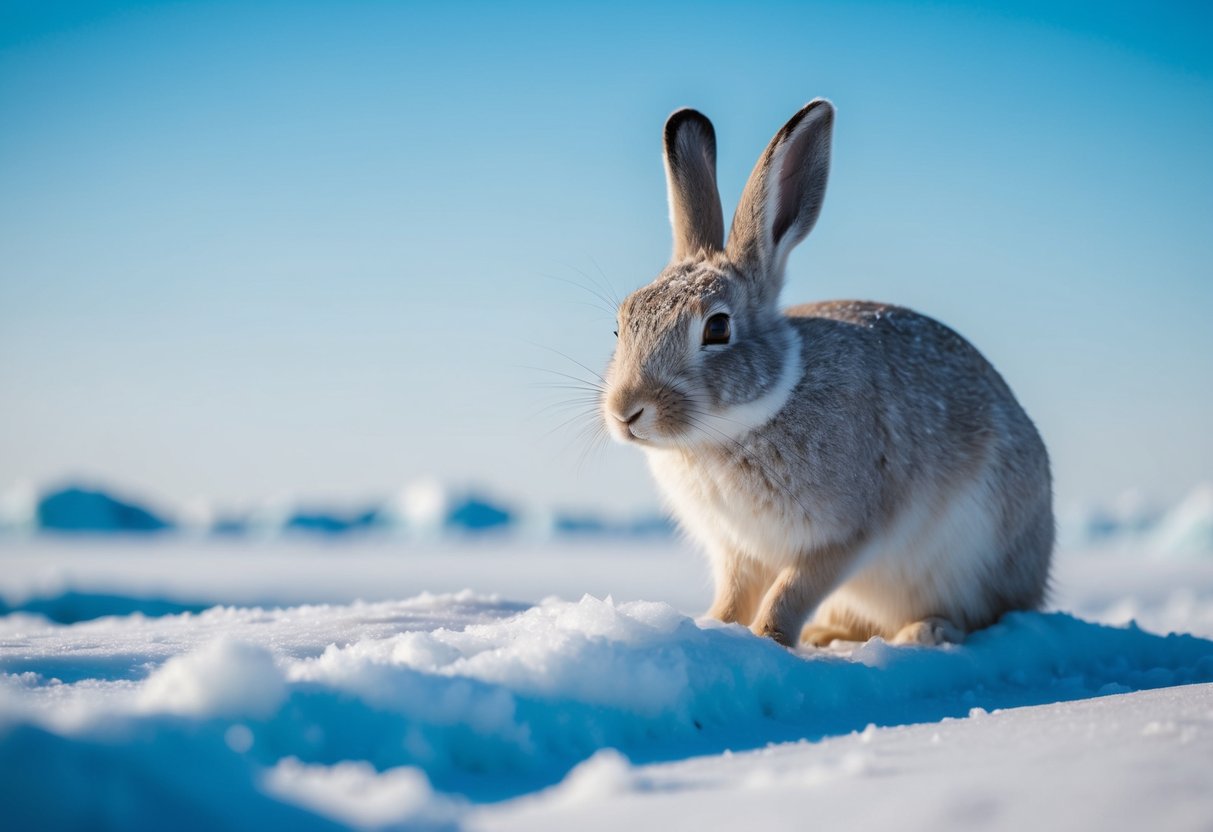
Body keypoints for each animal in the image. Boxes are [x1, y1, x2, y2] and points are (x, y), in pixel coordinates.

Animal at [601, 100, 1053, 647]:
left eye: (717, 328)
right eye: (621, 325)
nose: (626, 411)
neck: (735, 427)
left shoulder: (843, 537)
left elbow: (790, 592)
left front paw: (769, 639)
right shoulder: (737, 550)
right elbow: (736, 596)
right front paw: (715, 628)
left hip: (971, 560)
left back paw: (925, 631)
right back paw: (828, 634)